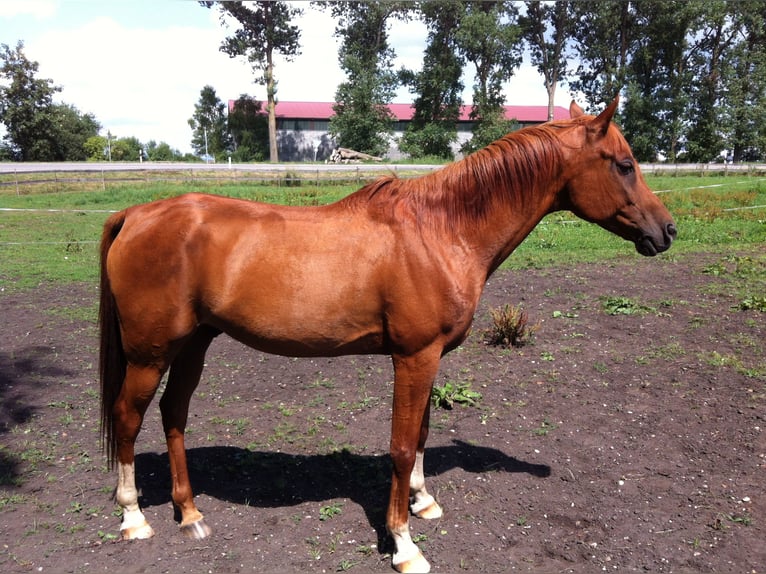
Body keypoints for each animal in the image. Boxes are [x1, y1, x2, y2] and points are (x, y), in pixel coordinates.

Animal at [99, 97, 675, 573]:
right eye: (624, 164)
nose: (666, 230)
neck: (441, 230)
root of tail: (135, 214)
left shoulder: (431, 357)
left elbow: (420, 435)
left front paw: (423, 502)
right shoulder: (414, 357)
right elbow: (400, 445)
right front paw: (403, 545)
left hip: (193, 343)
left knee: (173, 414)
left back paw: (190, 513)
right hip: (150, 353)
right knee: (129, 417)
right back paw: (135, 518)